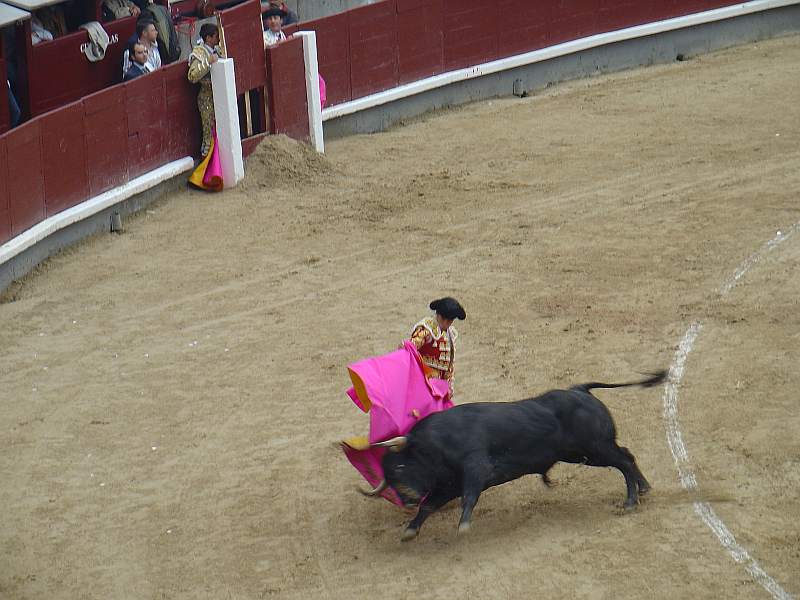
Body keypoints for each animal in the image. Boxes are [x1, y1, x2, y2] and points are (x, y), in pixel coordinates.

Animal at [370, 372, 668, 540]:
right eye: (388, 477)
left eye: (399, 467)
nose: (407, 498)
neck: (434, 444)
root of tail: (579, 390)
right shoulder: (448, 484)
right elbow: (429, 506)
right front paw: (410, 531)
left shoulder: (475, 467)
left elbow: (469, 495)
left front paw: (463, 526)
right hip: (583, 454)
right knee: (627, 455)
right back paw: (644, 488)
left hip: (596, 448)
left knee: (624, 461)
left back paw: (630, 501)